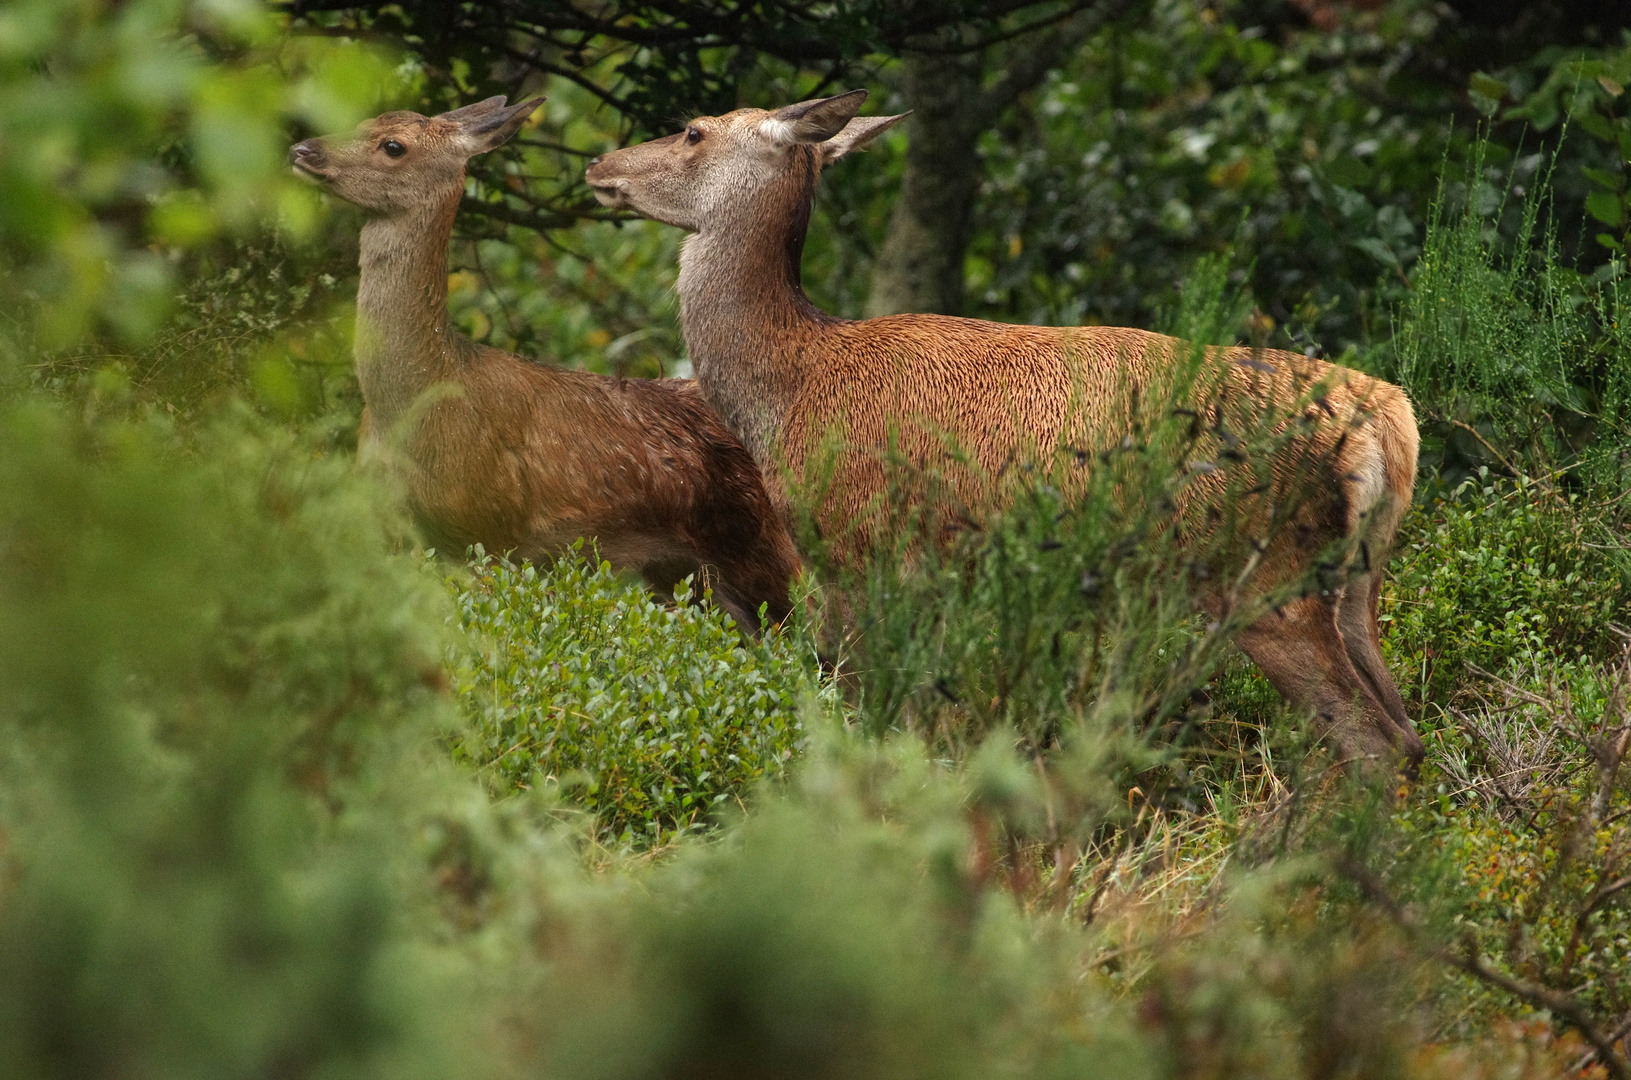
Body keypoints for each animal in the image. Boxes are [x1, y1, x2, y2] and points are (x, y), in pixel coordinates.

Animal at [293, 99, 802, 636]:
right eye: (366, 119)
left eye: (393, 145)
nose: (303, 149)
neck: (421, 396)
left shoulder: (492, 533)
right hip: (688, 573)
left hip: (772, 545)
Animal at [590, 90, 1428, 770]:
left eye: (694, 129)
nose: (600, 163)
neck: (788, 391)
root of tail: (1389, 423)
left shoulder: (857, 550)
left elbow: (877, 713)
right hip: (1357, 577)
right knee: (1406, 732)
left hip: (1264, 574)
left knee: (1371, 739)